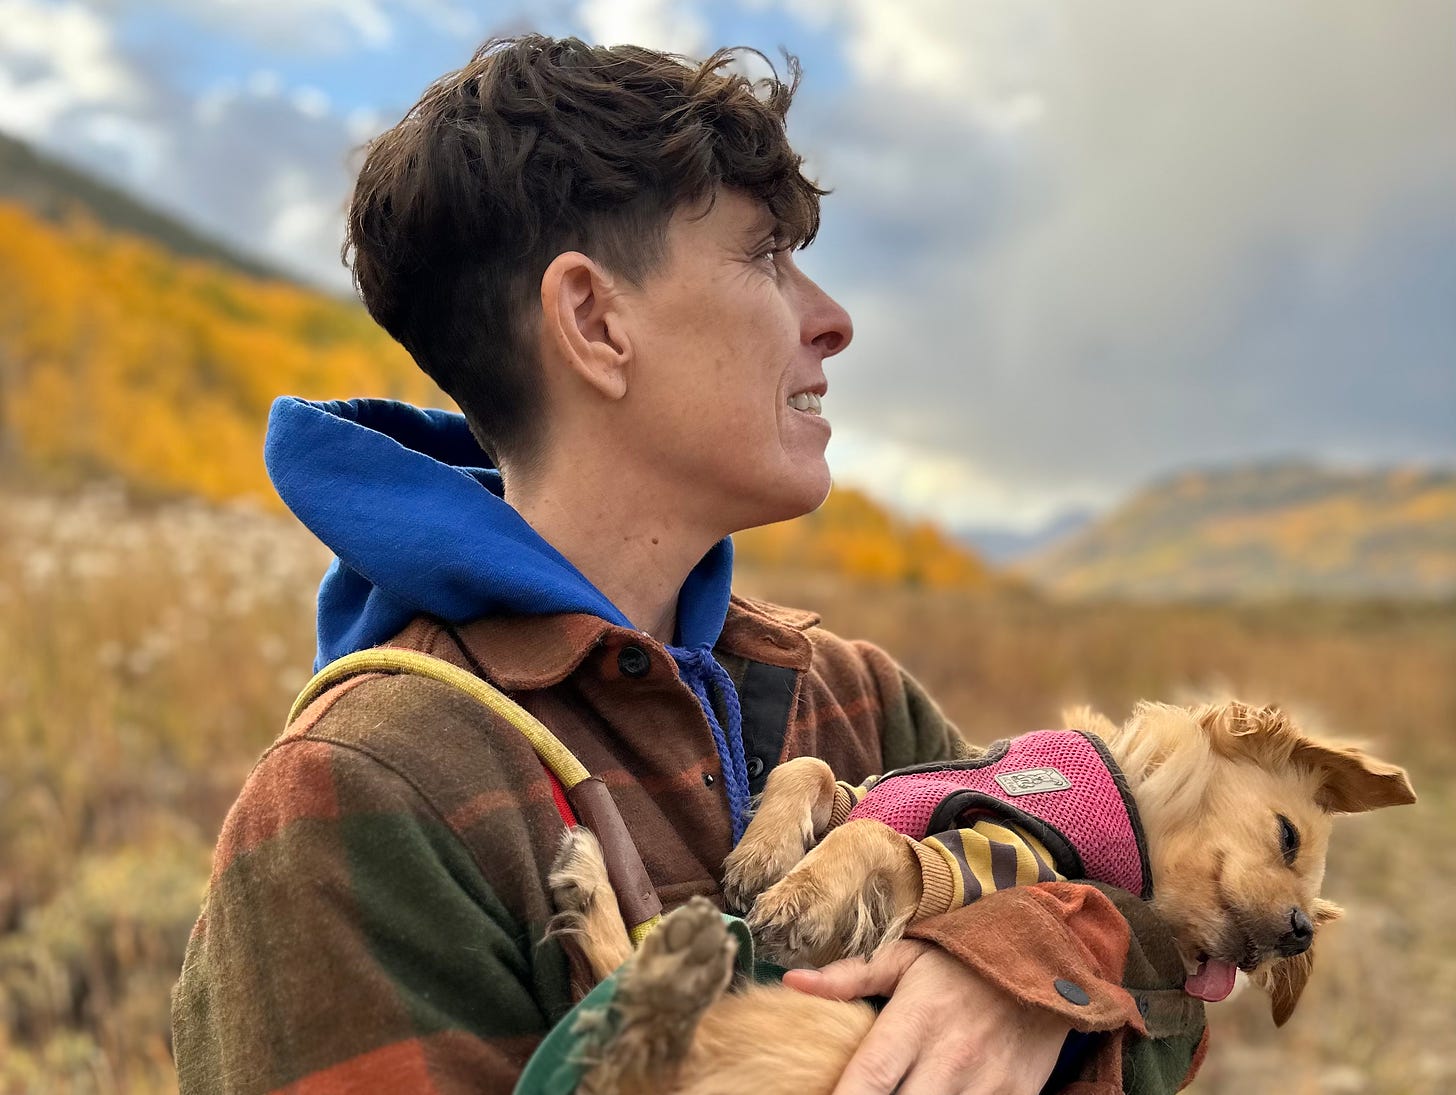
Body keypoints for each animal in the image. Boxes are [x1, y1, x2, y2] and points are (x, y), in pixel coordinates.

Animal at [544, 701, 1409, 1095]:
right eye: (1289, 837)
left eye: (1310, 922)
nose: (1298, 933)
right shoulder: (873, 788)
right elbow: (818, 772)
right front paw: (765, 850)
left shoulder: (993, 860)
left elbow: (875, 839)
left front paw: (800, 891)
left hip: (820, 1029)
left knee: (622, 1050)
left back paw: (657, 955)